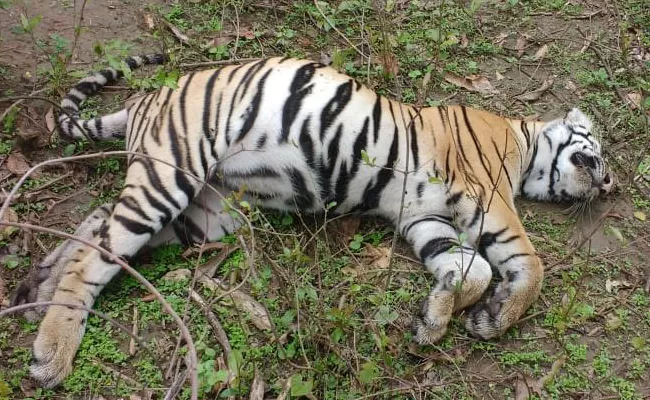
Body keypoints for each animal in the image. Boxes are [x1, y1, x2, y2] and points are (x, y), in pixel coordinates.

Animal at [7, 54, 612, 388]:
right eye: (599, 152)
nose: (608, 184)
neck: (525, 143)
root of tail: (145, 100)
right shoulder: (486, 195)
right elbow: (526, 264)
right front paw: (494, 318)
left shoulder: (424, 217)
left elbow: (473, 270)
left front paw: (435, 319)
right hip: (171, 175)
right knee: (96, 256)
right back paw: (52, 352)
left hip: (207, 212)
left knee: (96, 222)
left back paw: (37, 288)